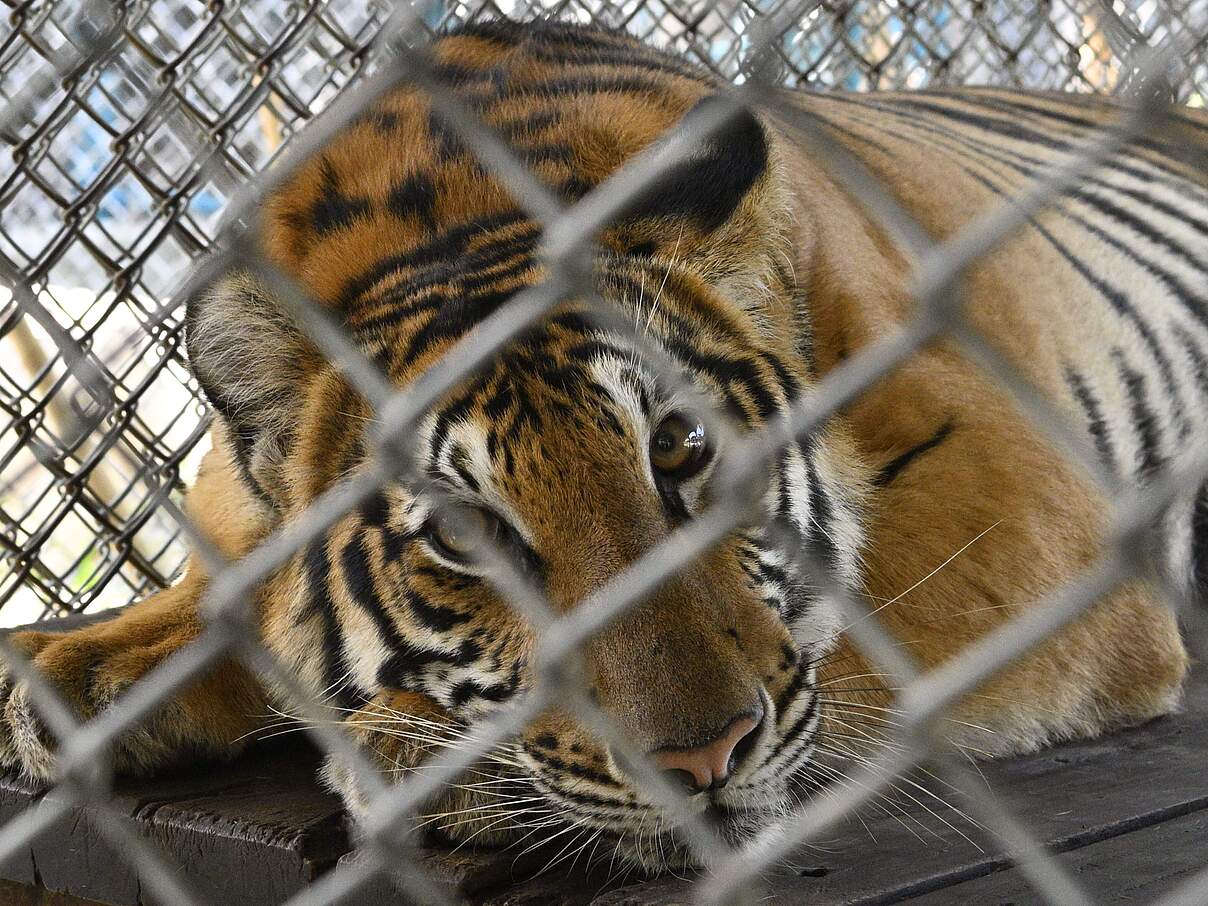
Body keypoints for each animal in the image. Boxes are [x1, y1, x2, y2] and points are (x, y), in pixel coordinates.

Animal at [1, 18, 1204, 873]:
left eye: (678, 449)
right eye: (464, 535)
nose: (701, 759)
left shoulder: (1022, 497)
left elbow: (851, 641)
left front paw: (421, 750)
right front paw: (85, 663)